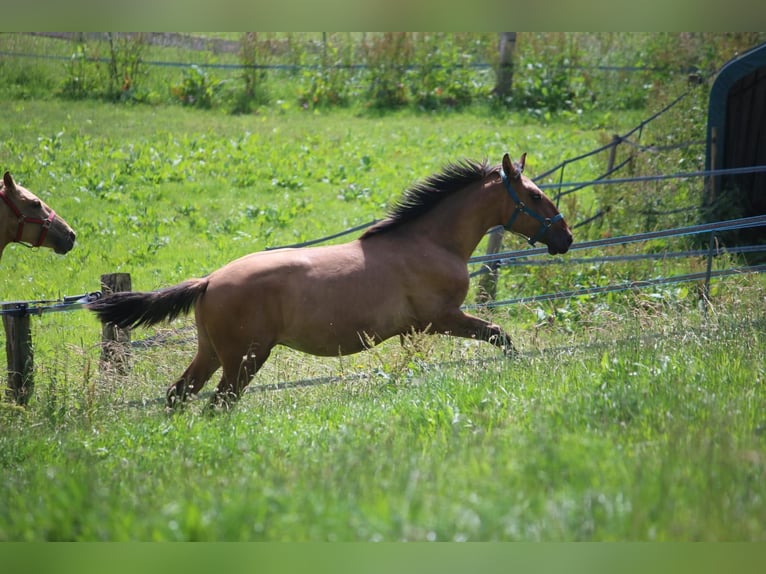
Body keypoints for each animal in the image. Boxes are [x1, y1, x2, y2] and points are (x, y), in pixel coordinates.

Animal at [90, 154, 572, 410]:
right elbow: (499, 335)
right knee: (220, 402)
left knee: (178, 394)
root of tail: (208, 281)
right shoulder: (441, 319)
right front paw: (519, 370)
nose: (565, 237)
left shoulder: (415, 331)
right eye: (534, 196)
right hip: (244, 357)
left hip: (210, 353)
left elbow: (411, 366)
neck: (430, 241)